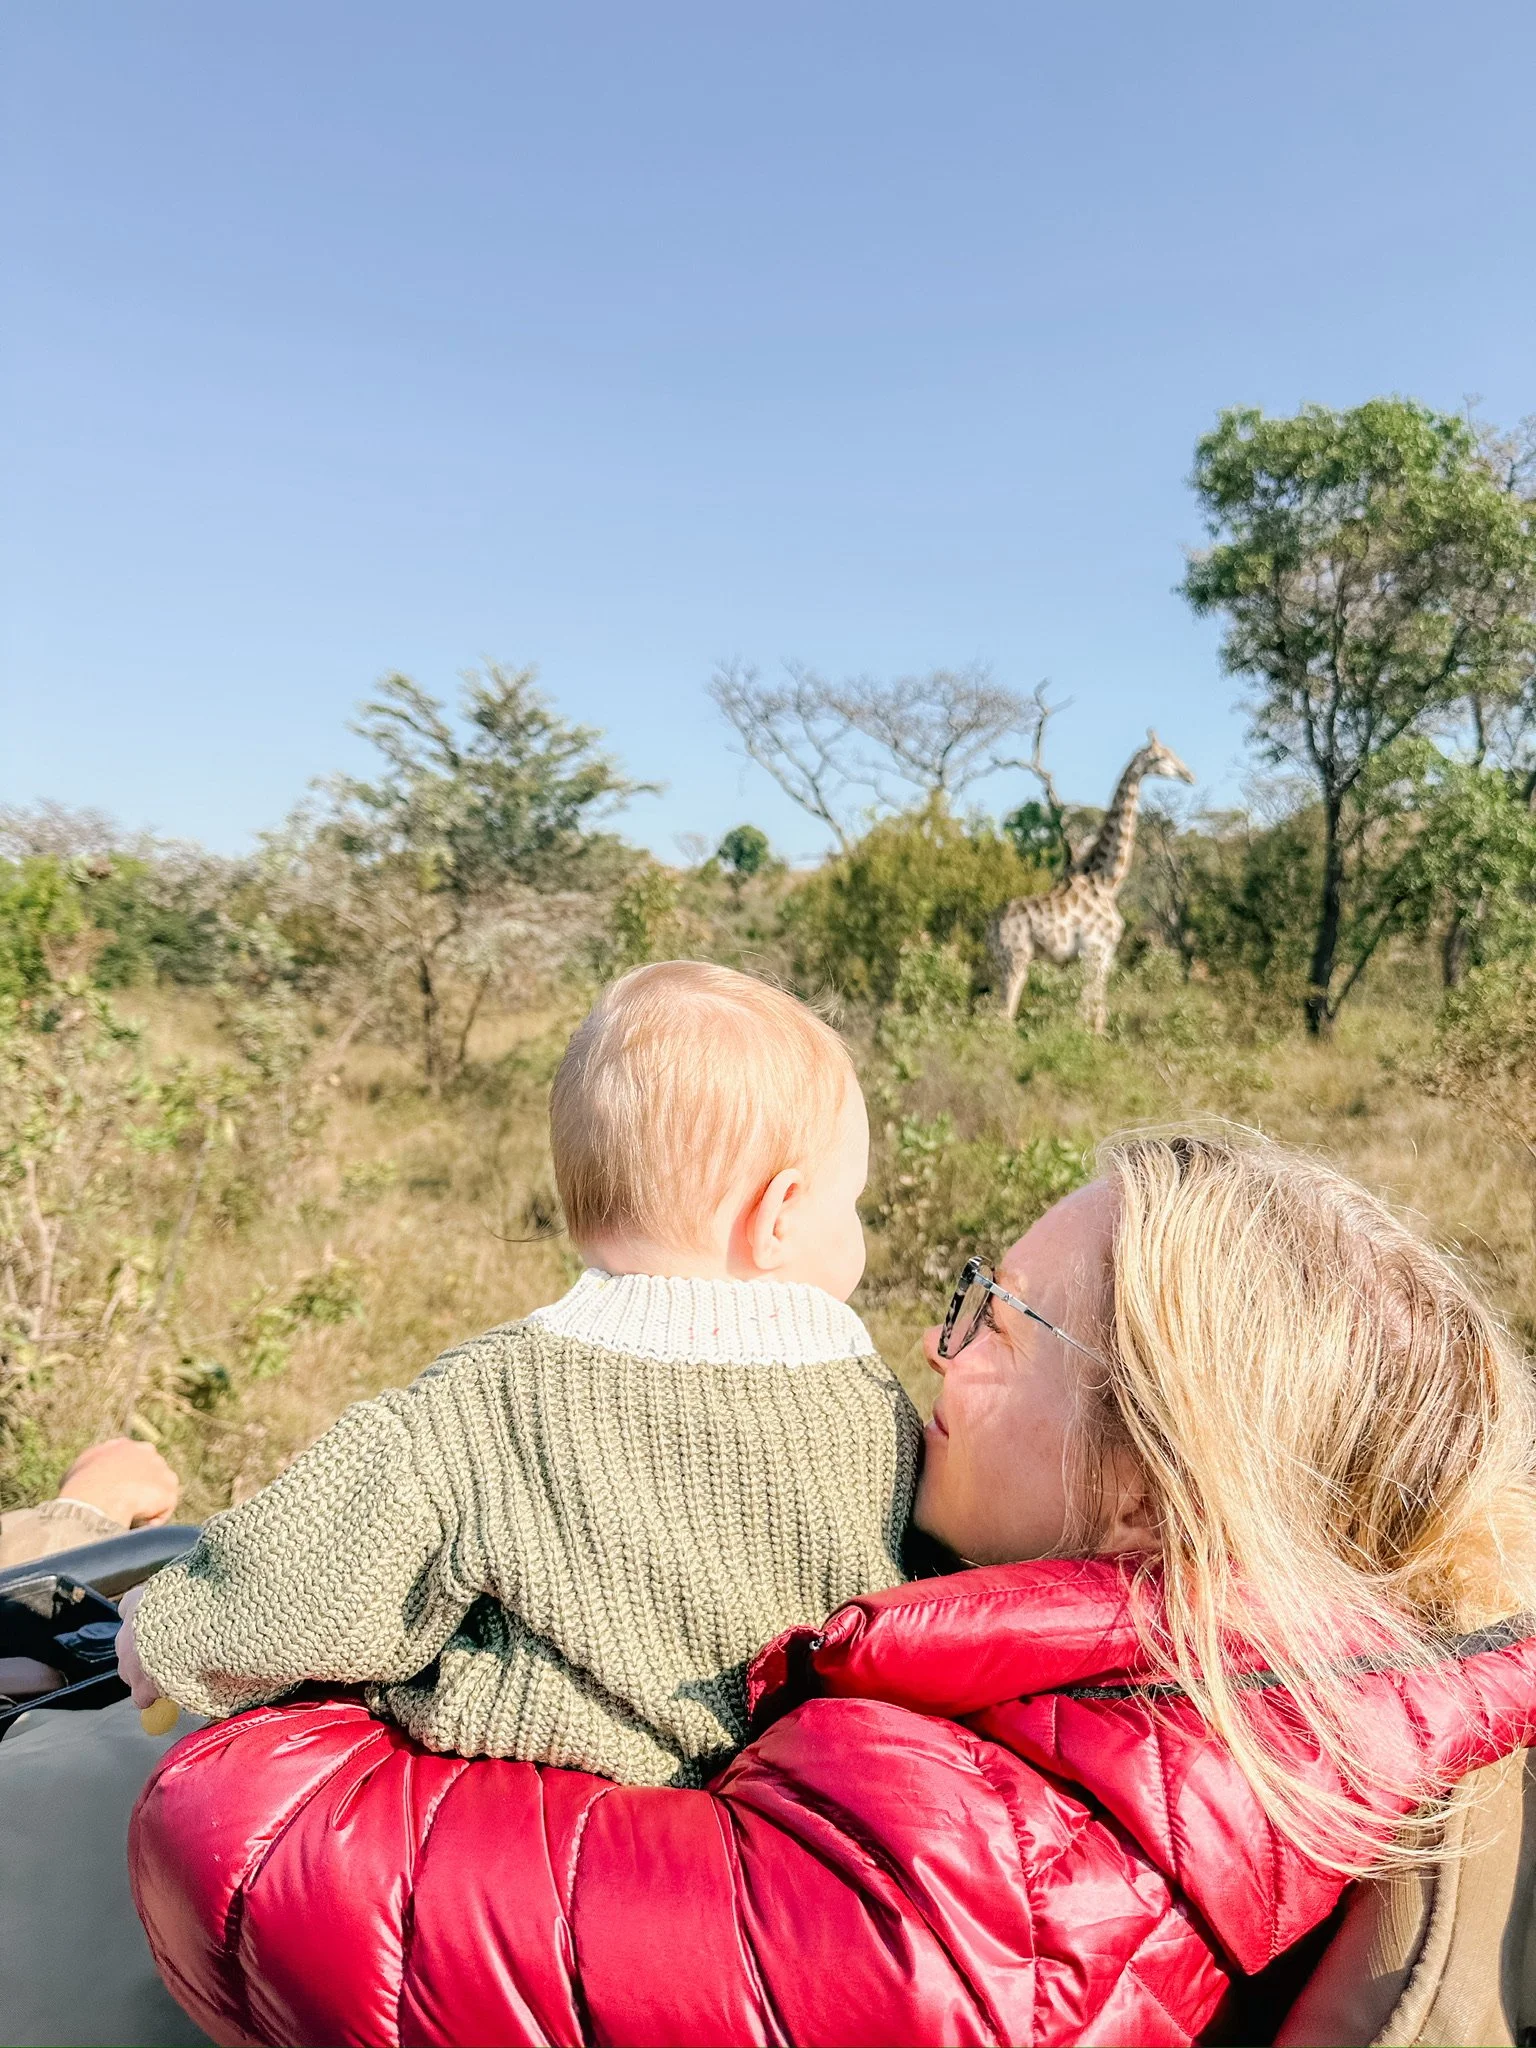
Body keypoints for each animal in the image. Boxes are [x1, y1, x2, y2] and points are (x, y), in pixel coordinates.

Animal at [990, 731, 1195, 1034]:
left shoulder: (1105, 954)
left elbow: (1097, 1008)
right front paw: (1089, 1042)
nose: (1189, 775)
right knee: (1004, 1012)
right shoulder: (1093, 950)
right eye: (1161, 757)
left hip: (998, 963)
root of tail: (988, 927)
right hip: (1016, 958)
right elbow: (1092, 1008)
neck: (1107, 881)